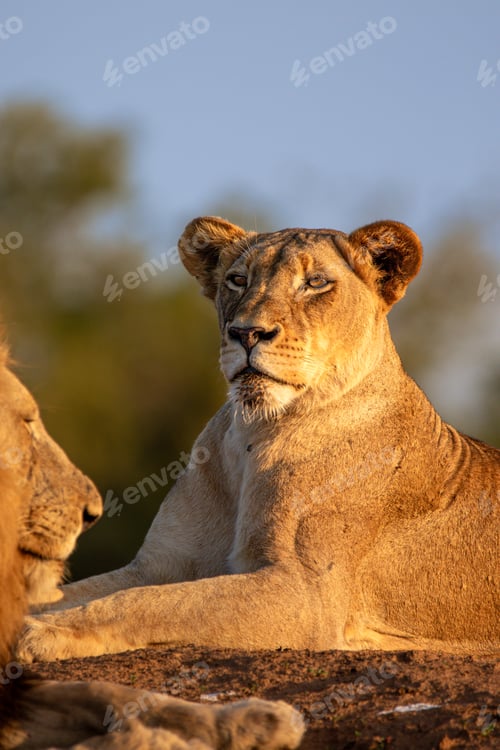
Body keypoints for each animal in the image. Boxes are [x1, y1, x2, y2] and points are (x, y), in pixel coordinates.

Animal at [16, 216, 499, 665]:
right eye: (238, 280)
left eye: (315, 283)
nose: (247, 333)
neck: (251, 434)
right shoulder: (157, 564)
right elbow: (86, 593)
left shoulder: (305, 592)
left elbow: (154, 604)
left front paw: (46, 633)